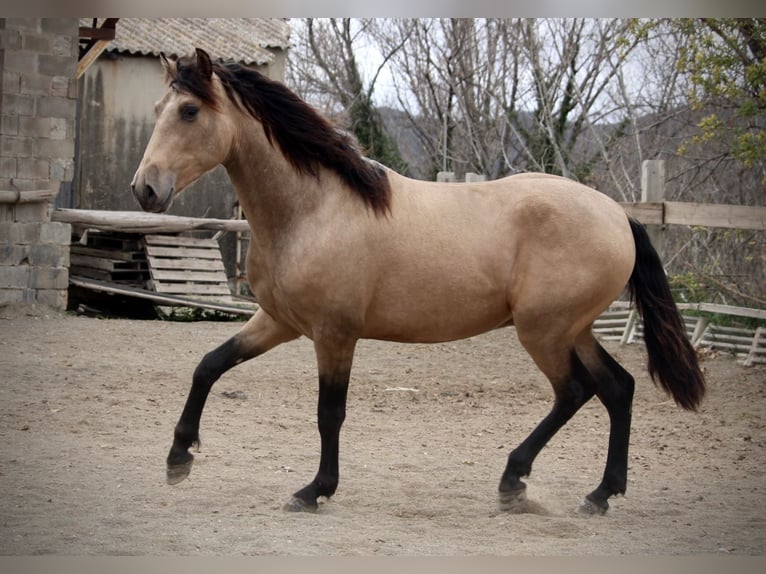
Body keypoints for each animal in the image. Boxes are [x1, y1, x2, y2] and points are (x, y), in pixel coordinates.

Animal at [132, 50, 708, 516]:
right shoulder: (278, 321)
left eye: (190, 111)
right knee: (617, 388)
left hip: (544, 331)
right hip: (574, 329)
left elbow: (329, 414)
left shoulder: (334, 334)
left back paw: (514, 481)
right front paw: (178, 458)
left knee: (575, 391)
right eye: (158, 108)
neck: (313, 209)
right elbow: (209, 365)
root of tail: (617, 214)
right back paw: (599, 495)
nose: (145, 189)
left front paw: (314, 490)